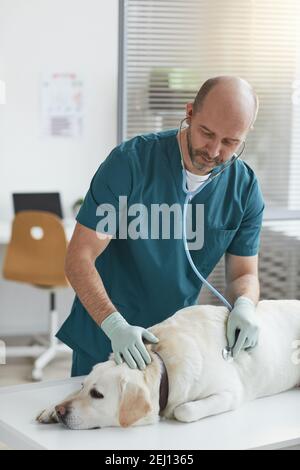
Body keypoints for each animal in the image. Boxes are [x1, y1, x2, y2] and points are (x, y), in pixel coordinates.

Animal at [36, 302, 300, 430]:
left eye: (97, 394)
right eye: (83, 386)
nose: (61, 412)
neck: (160, 360)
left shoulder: (231, 393)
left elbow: (184, 410)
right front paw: (50, 409)